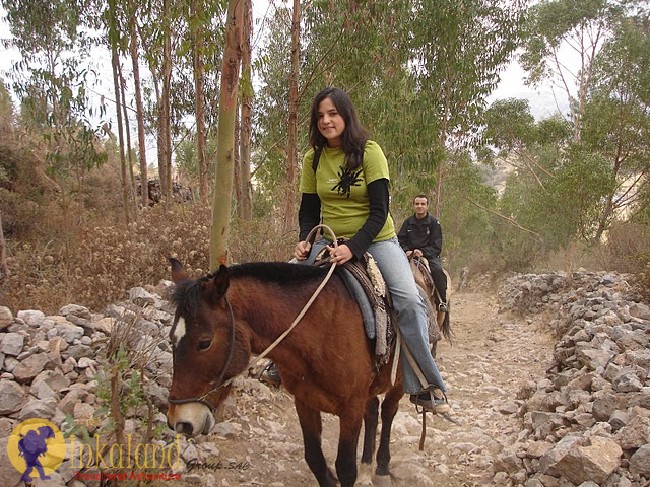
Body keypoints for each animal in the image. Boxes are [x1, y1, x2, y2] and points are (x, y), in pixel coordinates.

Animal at [170, 260, 408, 487]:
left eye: (204, 343)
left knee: (388, 411)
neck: (321, 329)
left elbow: (346, 468)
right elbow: (314, 458)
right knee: (373, 410)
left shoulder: (351, 407)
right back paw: (366, 469)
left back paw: (381, 470)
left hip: (399, 384)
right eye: (172, 338)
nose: (180, 422)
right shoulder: (305, 401)